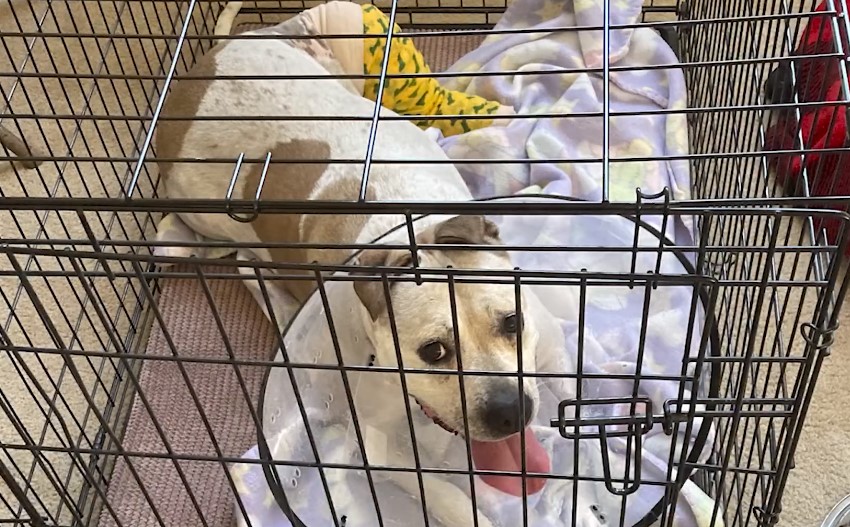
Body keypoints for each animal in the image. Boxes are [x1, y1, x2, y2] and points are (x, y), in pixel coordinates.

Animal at [155, 26, 572, 527]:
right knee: (245, 263)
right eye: (433, 351)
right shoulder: (380, 446)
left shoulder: (550, 346)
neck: (402, 238)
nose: (510, 411)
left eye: (513, 322)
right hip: (210, 212)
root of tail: (193, 81)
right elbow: (445, 495)